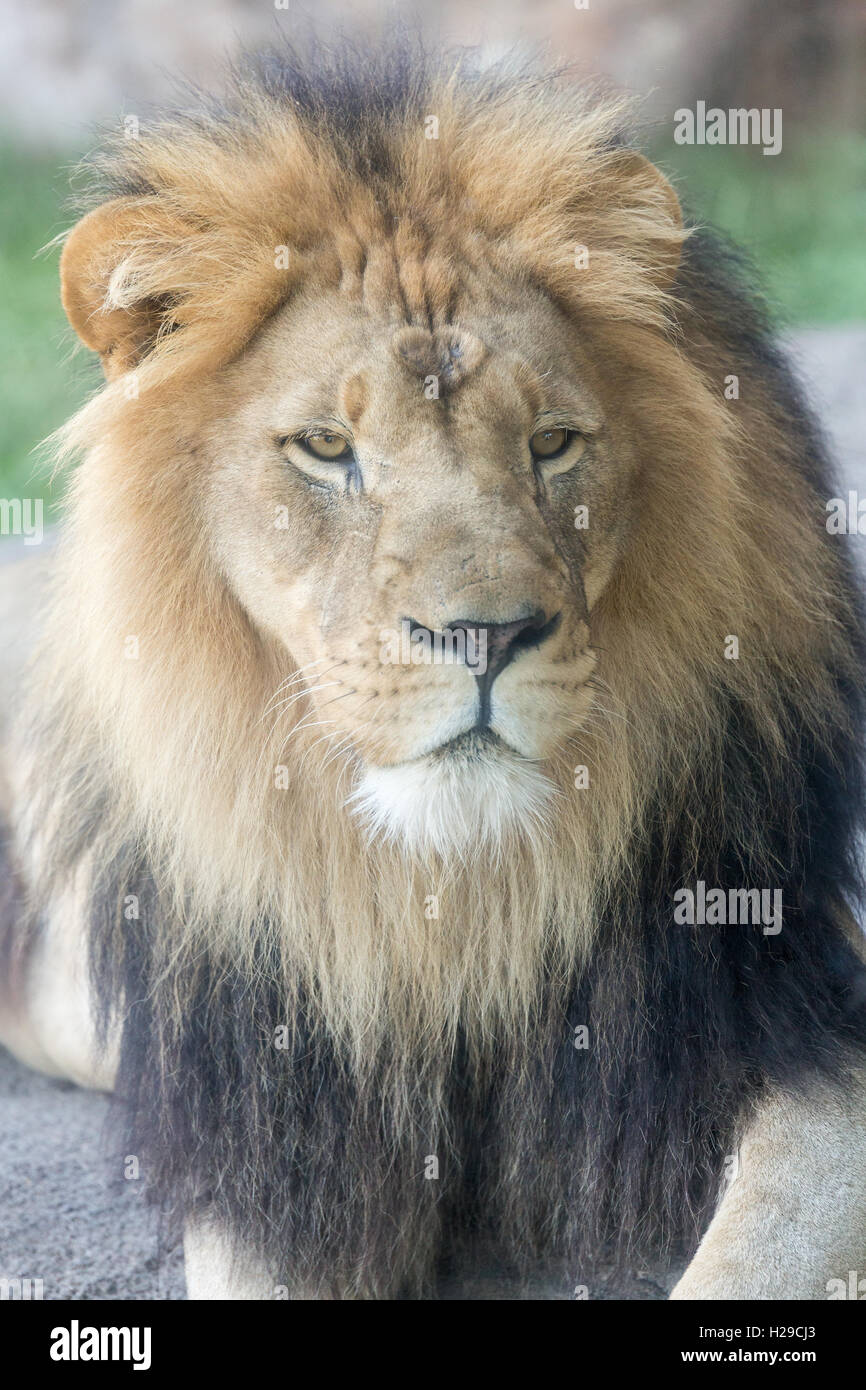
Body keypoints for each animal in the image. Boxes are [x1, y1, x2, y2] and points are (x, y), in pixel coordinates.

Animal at [1, 40, 866, 1301]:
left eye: (550, 443)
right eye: (326, 448)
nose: (485, 638)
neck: (451, 905)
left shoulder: (798, 1017)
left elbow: (757, 1254)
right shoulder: (283, 1144)